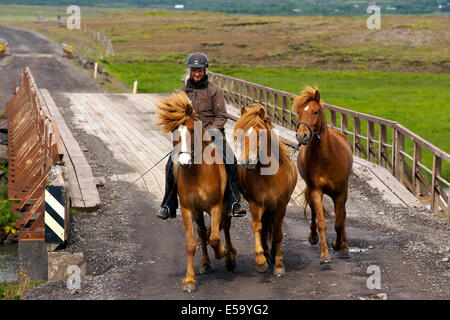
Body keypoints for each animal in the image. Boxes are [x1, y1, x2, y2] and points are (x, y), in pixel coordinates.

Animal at [156, 90, 237, 292]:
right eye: (174, 131)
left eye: (192, 130)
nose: (184, 162)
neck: (198, 173)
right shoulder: (188, 210)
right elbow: (191, 244)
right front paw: (189, 280)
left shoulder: (216, 206)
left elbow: (215, 238)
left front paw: (224, 252)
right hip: (199, 212)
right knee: (201, 231)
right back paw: (206, 264)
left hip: (226, 206)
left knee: (225, 228)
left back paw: (230, 258)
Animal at [234, 104, 298, 276]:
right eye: (241, 134)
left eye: (260, 133)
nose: (247, 161)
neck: (269, 177)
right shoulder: (256, 205)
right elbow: (257, 227)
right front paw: (261, 260)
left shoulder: (281, 206)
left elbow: (277, 233)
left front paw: (279, 264)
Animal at [294, 86, 354, 266]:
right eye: (299, 112)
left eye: (315, 111)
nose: (301, 135)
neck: (327, 158)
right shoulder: (315, 190)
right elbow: (322, 222)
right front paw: (325, 254)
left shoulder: (340, 193)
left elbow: (339, 222)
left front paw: (339, 245)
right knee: (314, 211)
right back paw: (314, 237)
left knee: (342, 216)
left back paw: (345, 244)